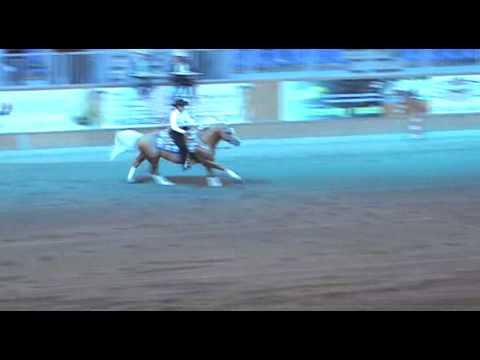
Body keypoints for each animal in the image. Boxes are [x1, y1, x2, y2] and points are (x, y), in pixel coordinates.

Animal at [110, 126, 242, 187]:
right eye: (228, 132)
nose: (238, 142)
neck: (202, 141)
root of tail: (142, 137)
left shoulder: (207, 161)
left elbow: (211, 171)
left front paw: (214, 182)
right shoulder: (204, 160)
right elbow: (221, 166)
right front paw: (236, 176)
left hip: (146, 155)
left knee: (137, 163)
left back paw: (131, 179)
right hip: (153, 157)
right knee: (153, 170)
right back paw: (164, 182)